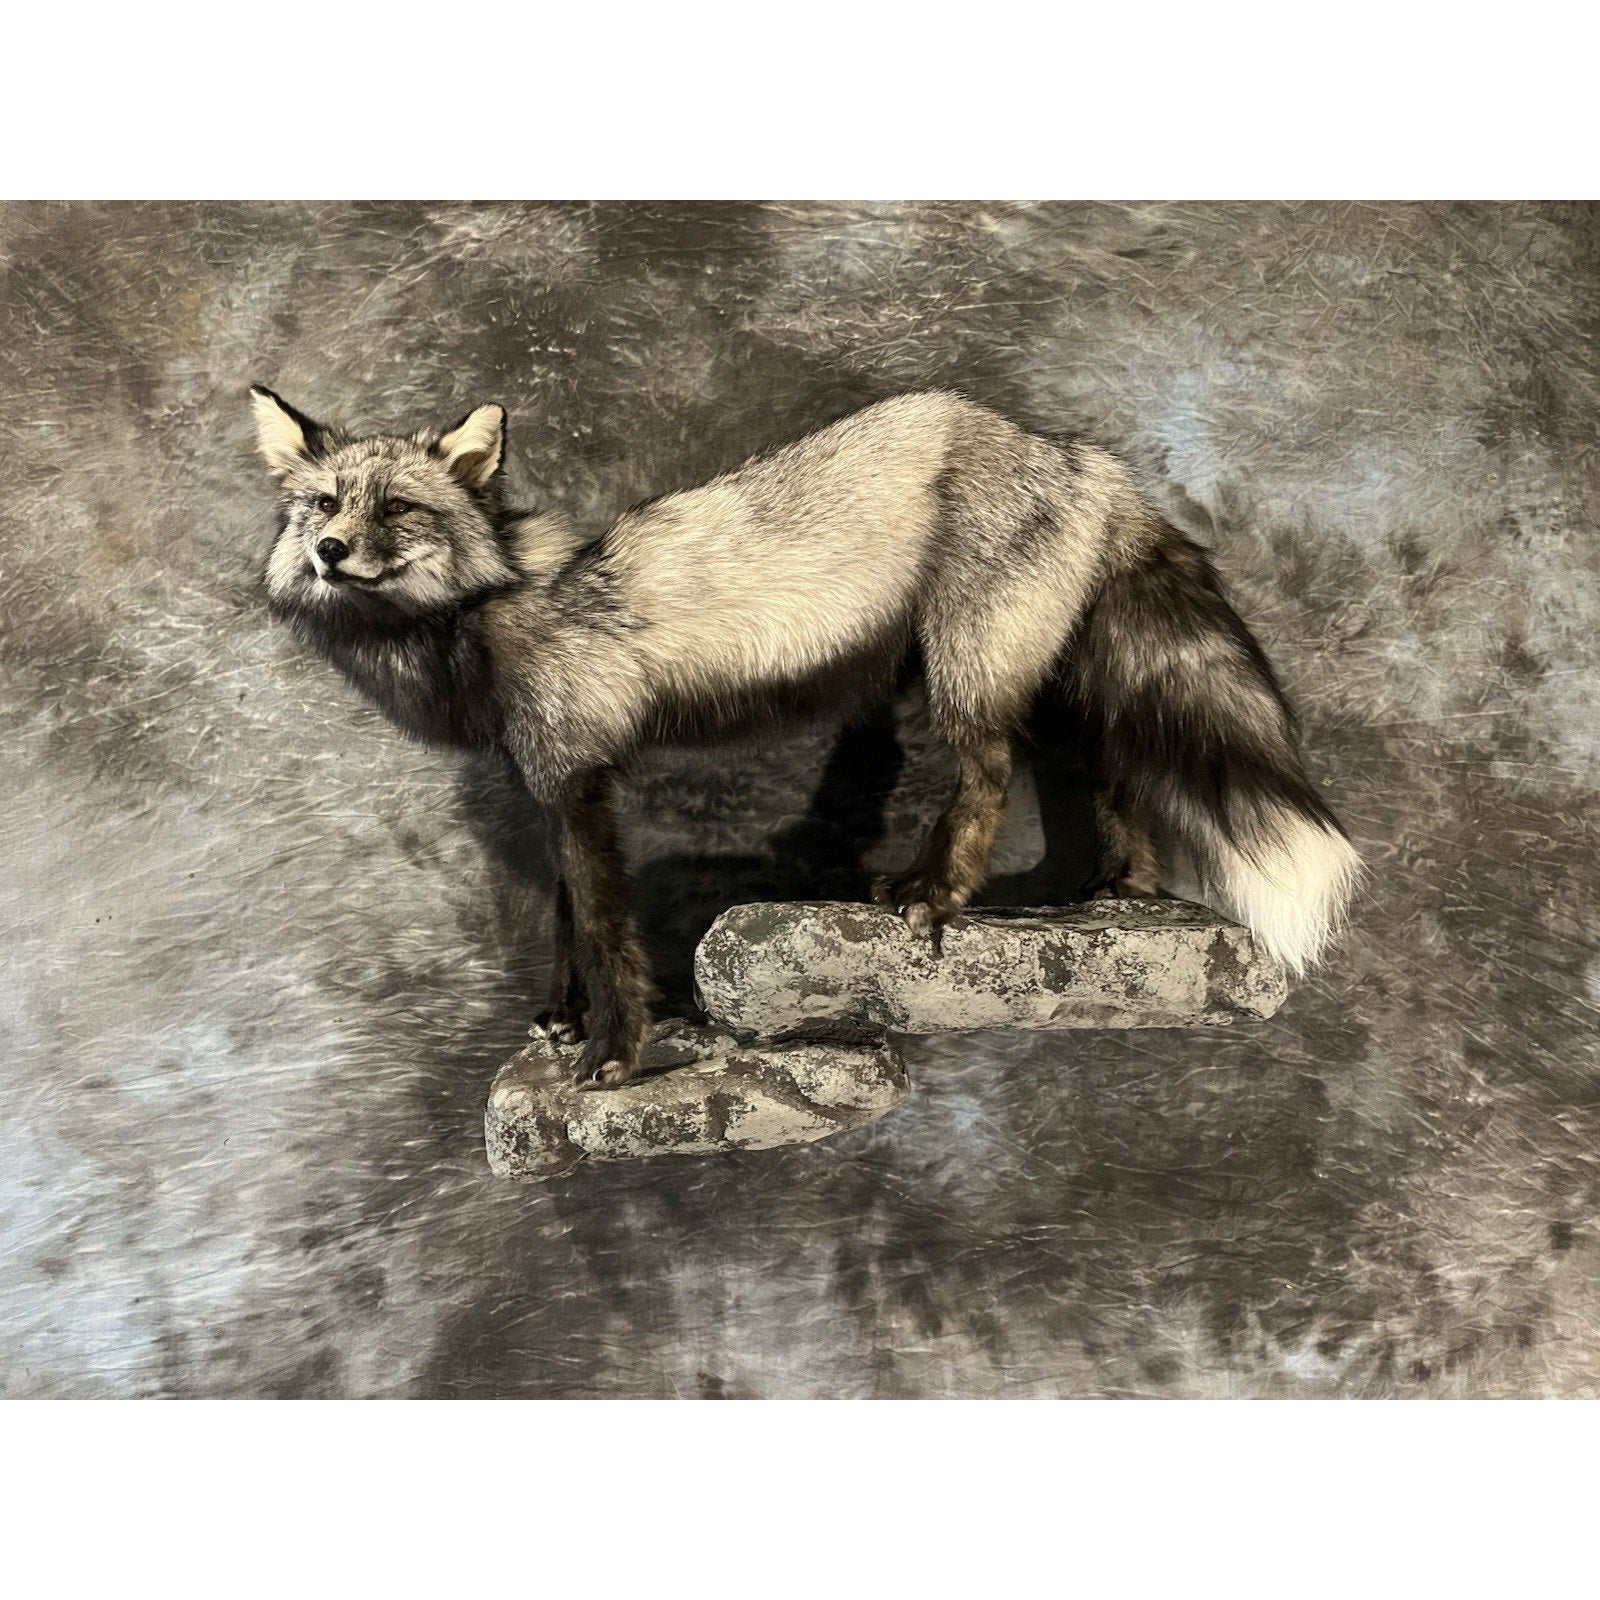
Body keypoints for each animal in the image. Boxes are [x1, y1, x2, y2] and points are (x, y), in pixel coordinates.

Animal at [251, 386, 1360, 1087]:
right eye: (322, 502)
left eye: (399, 507)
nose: (330, 550)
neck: (494, 608)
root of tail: (1077, 454)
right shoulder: (553, 781)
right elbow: (565, 918)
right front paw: (563, 1017)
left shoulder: (579, 781)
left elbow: (604, 928)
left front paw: (611, 1053)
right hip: (1042, 675)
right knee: (1108, 767)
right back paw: (1120, 889)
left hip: (967, 669)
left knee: (991, 775)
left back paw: (934, 892)